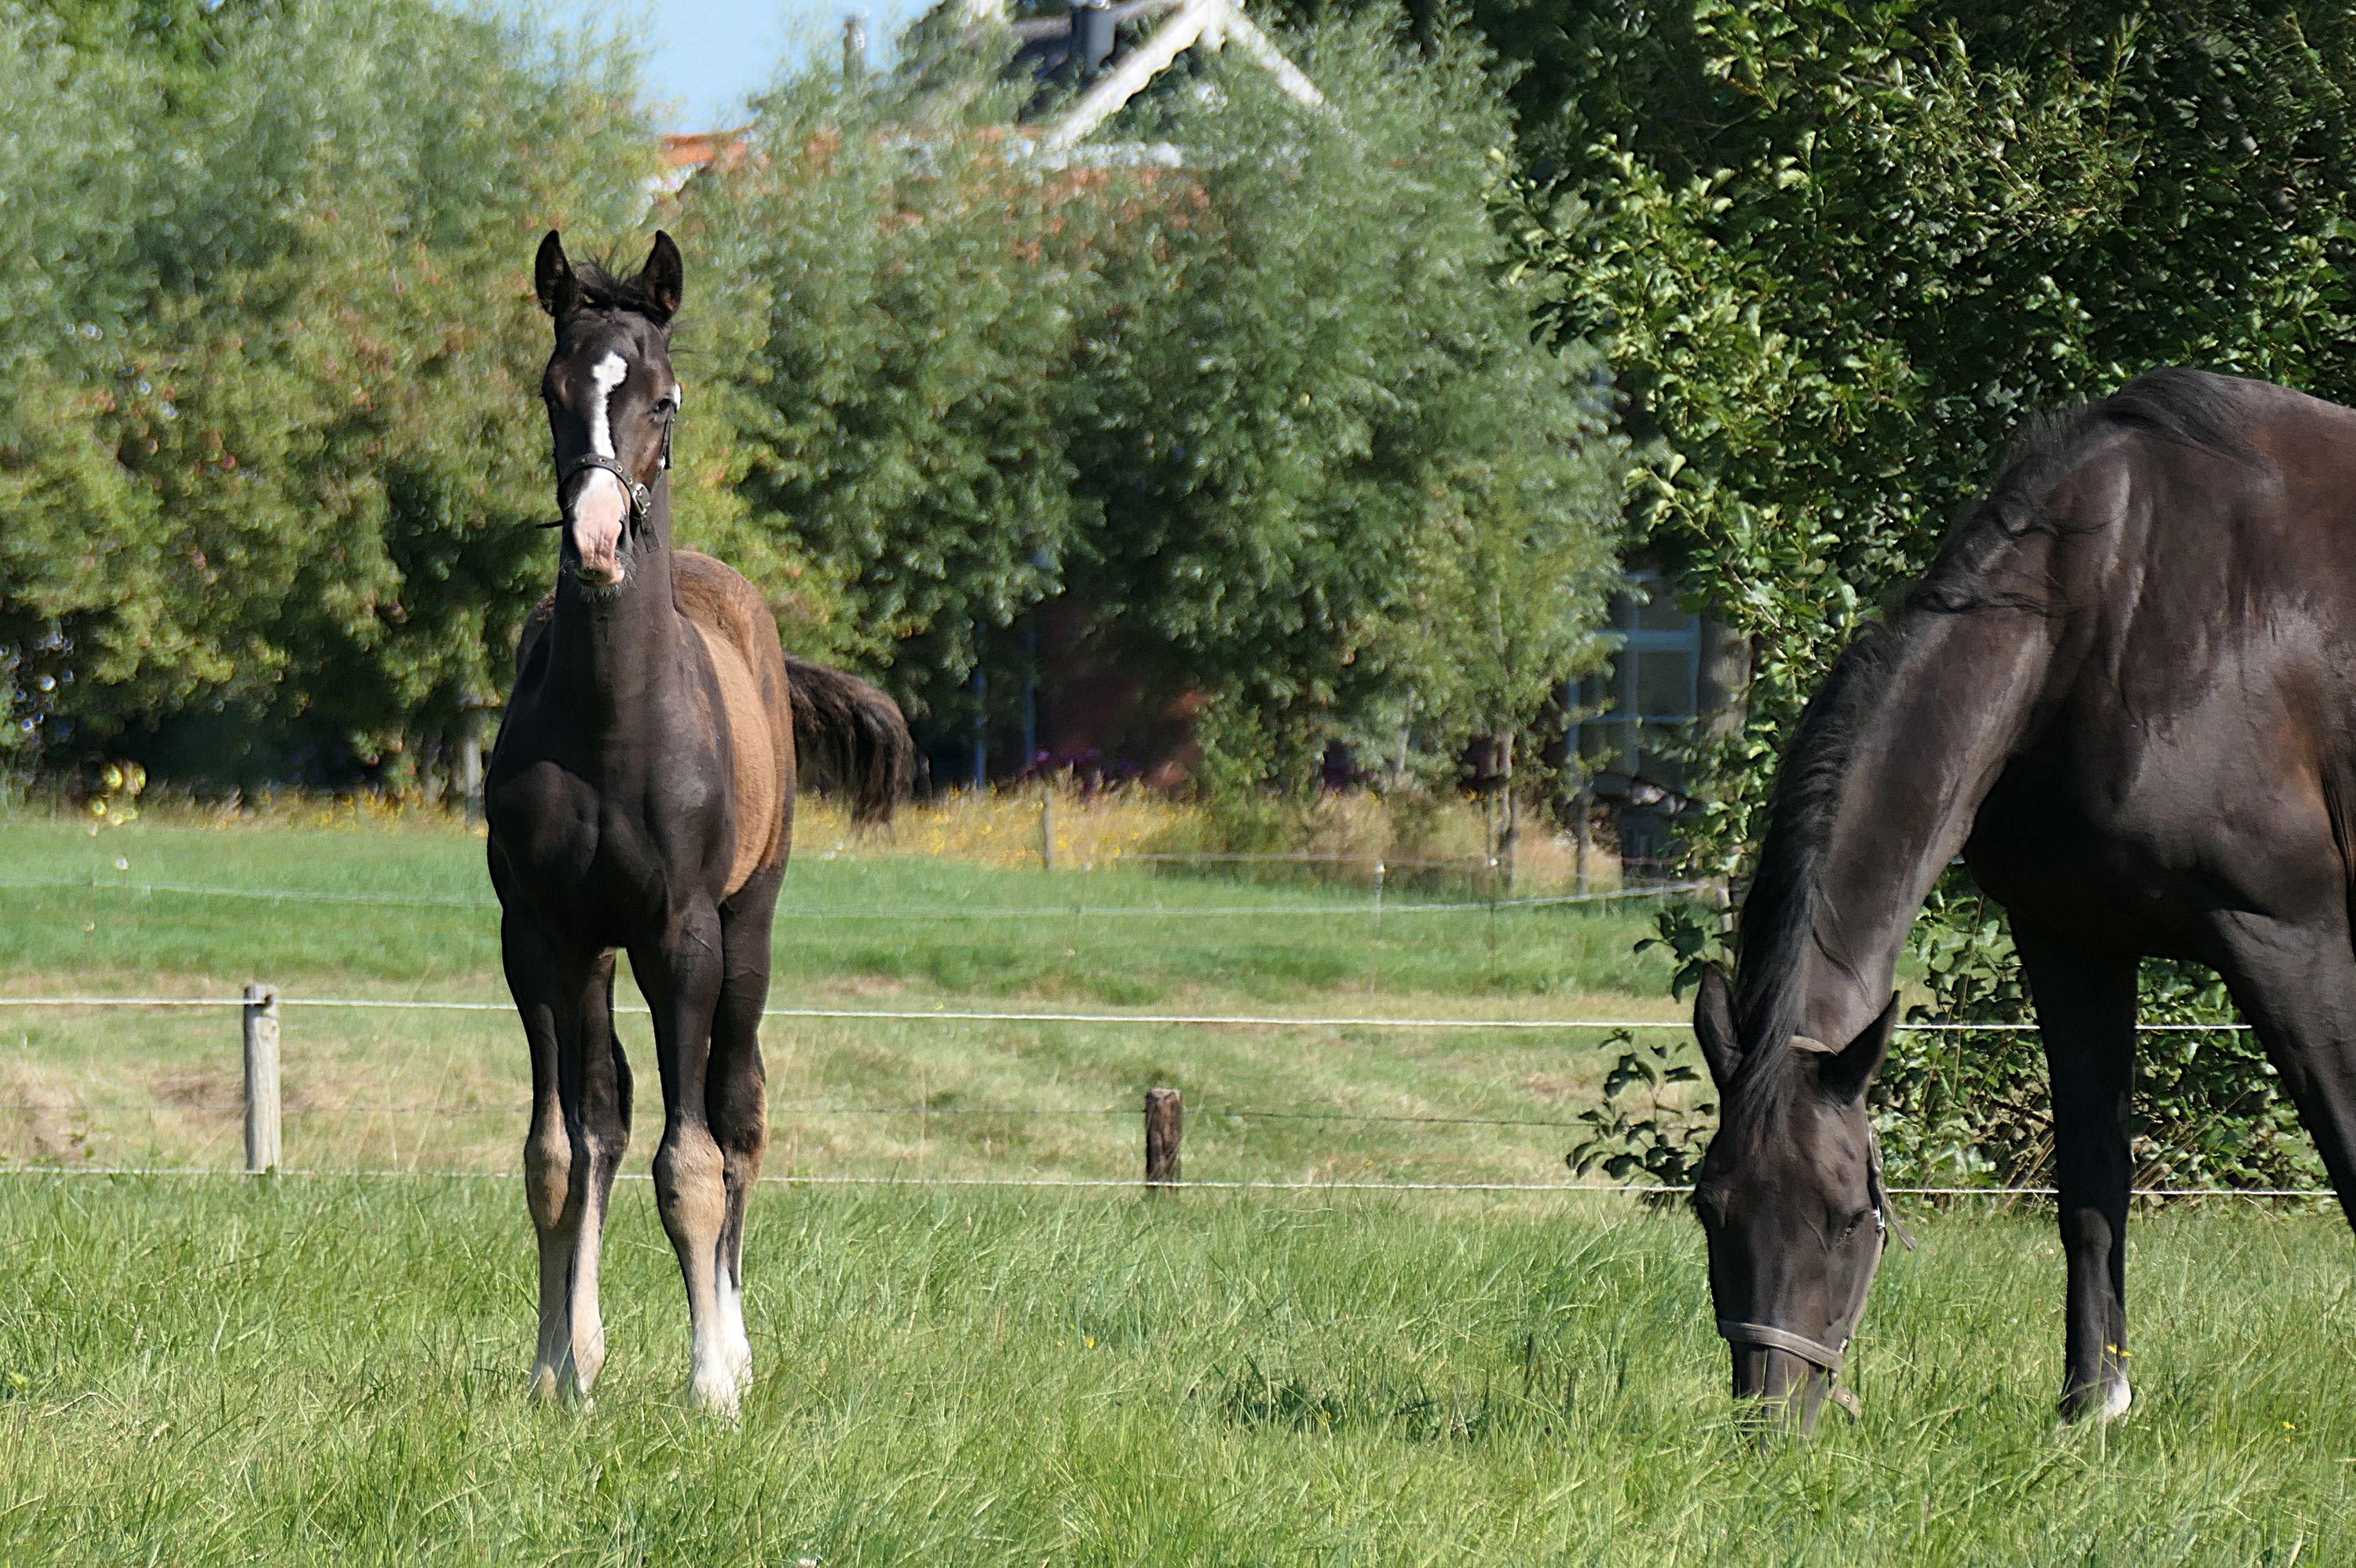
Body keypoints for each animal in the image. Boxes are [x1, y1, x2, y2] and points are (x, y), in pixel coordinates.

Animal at [485, 230, 914, 1415]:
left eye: (664, 398)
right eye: (552, 391)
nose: (596, 540)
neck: (614, 726)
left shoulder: (682, 935)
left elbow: (695, 1162)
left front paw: (712, 1382)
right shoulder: (539, 936)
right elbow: (559, 1151)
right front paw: (555, 1369)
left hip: (747, 929)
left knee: (737, 1114)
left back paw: (738, 1345)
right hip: (599, 955)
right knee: (609, 1116)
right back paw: (586, 1348)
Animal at [1691, 367, 2356, 1432]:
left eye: (1847, 1216)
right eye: (1710, 1206)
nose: (1773, 1421)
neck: (2103, 611)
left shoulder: (2290, 938)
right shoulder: (2070, 939)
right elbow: (2088, 1185)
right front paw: (2092, 1405)